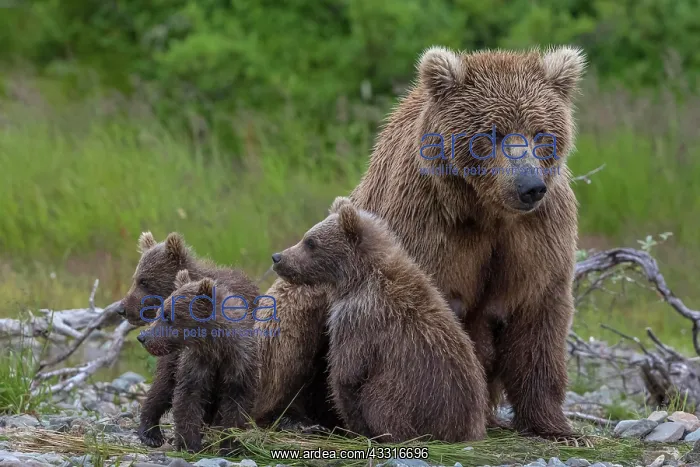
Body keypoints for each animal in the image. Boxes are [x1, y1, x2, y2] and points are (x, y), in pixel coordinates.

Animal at [137, 270, 259, 453]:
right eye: (159, 312)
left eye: (168, 315)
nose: (143, 337)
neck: (216, 348)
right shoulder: (195, 364)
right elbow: (187, 398)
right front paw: (190, 445)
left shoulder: (239, 365)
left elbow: (237, 405)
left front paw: (230, 446)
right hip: (172, 361)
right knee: (161, 390)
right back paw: (151, 433)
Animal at [271, 196, 489, 442]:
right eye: (306, 236)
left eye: (310, 242)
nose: (278, 257)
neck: (358, 277)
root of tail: (466, 431)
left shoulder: (359, 318)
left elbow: (346, 374)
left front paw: (354, 429)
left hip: (411, 396)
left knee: (380, 400)